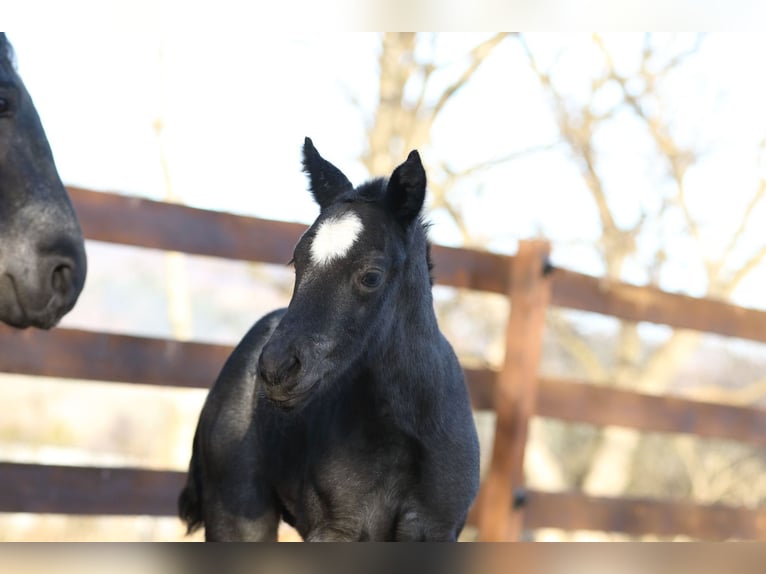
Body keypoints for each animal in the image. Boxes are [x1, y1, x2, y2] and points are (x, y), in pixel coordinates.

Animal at [181, 138, 480, 540]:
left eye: (371, 276)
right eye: (297, 261)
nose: (277, 369)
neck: (406, 428)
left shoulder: (435, 530)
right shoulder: (337, 529)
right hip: (237, 514)